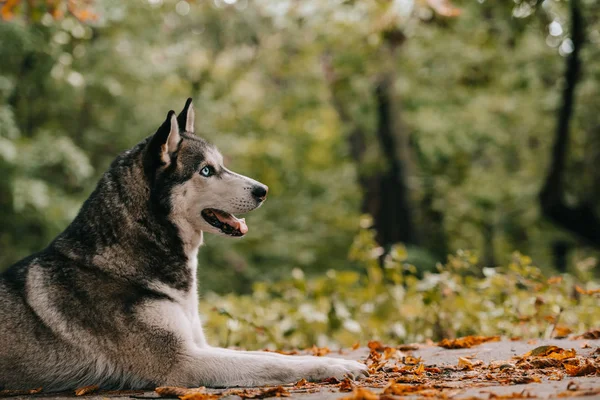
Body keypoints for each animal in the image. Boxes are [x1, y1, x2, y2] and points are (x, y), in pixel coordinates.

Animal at [0, 99, 366, 390]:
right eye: (206, 171)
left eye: (222, 165)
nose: (263, 190)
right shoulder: (183, 363)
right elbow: (270, 362)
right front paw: (335, 365)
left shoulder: (198, 346)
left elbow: (270, 354)